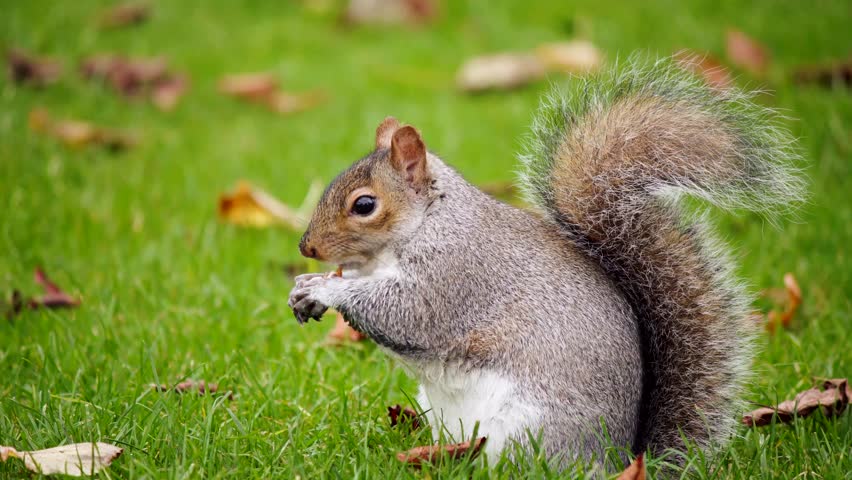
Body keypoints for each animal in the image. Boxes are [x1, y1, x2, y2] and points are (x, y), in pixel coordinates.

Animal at [288, 58, 804, 464]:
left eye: (364, 205)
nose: (306, 248)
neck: (427, 221)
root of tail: (620, 459)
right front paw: (306, 289)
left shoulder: (454, 271)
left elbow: (405, 311)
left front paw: (323, 287)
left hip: (527, 427)